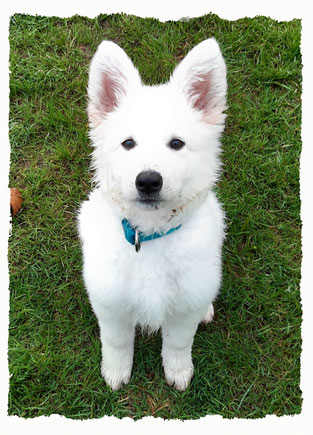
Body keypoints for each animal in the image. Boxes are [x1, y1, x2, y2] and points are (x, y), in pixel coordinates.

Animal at [77, 38, 225, 392]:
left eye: (177, 143)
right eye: (128, 143)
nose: (147, 181)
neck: (151, 236)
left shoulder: (183, 309)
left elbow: (178, 343)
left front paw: (179, 372)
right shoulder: (111, 304)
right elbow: (116, 342)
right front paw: (115, 373)